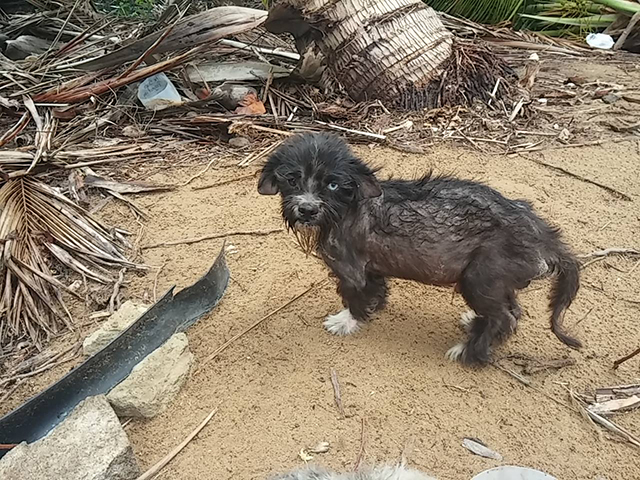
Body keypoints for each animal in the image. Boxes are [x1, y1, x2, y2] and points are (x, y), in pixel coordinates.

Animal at [258, 131, 584, 364]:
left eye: (333, 184)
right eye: (292, 179)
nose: (307, 209)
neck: (348, 207)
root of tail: (543, 234)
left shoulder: (352, 270)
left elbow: (353, 297)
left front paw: (345, 322)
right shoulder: (372, 269)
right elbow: (375, 292)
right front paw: (371, 309)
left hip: (479, 278)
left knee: (505, 316)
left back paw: (469, 353)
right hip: (498, 280)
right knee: (512, 311)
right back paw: (475, 326)